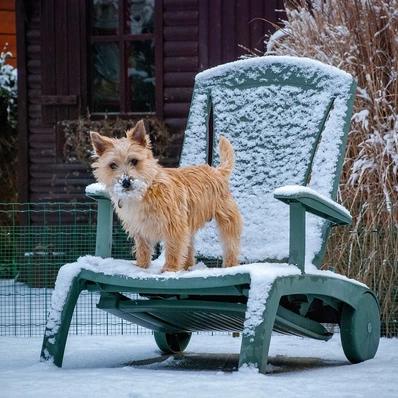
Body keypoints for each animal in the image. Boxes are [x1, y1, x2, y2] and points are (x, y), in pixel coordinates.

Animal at [89, 119, 243, 272]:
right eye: (112, 165)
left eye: (134, 161)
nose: (126, 182)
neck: (144, 193)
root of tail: (217, 171)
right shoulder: (140, 229)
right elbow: (143, 249)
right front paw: (142, 266)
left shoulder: (174, 226)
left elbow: (173, 249)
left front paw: (170, 269)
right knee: (189, 248)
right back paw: (187, 266)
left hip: (226, 220)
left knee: (230, 244)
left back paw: (229, 265)